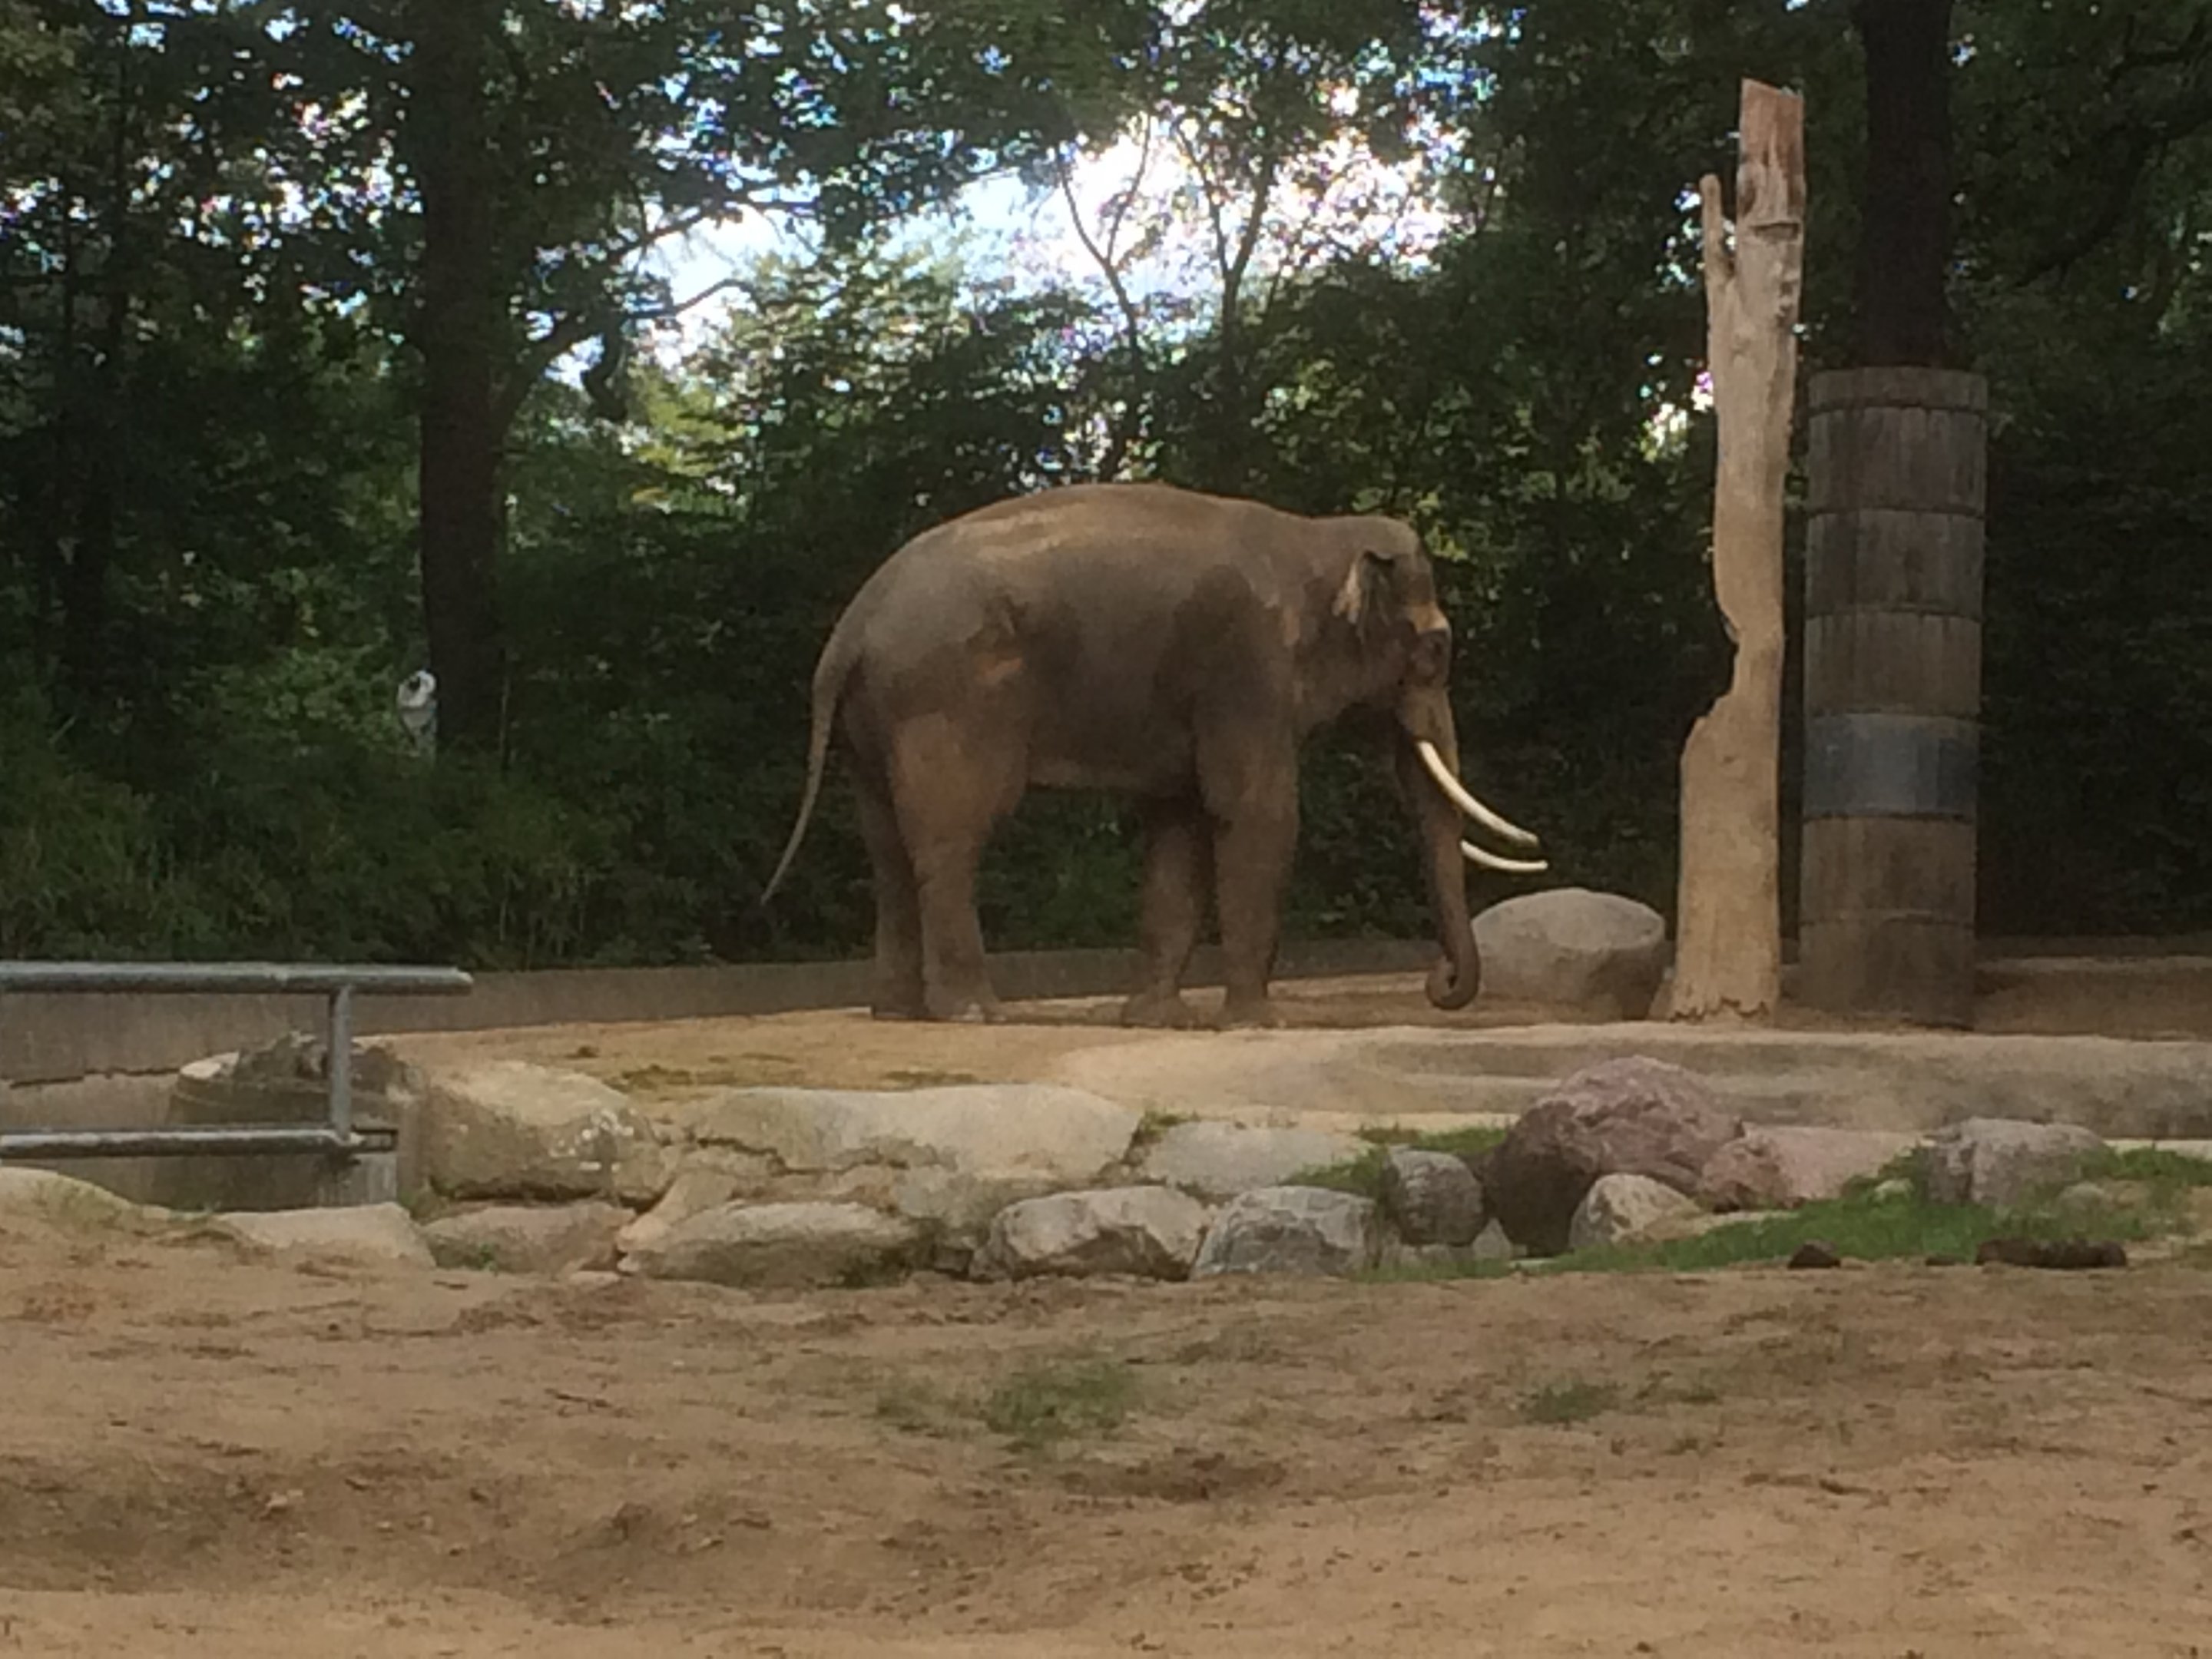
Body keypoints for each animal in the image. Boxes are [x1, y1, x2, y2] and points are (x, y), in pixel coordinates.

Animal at [762, 481, 1546, 1027]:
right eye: (1436, 650)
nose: (1438, 984)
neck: (1316, 536)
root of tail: (851, 628)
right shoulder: (1245, 668)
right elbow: (1257, 812)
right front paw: (1257, 1024)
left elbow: (1179, 827)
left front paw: (1160, 1021)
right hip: (947, 698)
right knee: (951, 837)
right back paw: (977, 1014)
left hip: (875, 721)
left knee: (886, 846)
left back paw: (898, 1012)